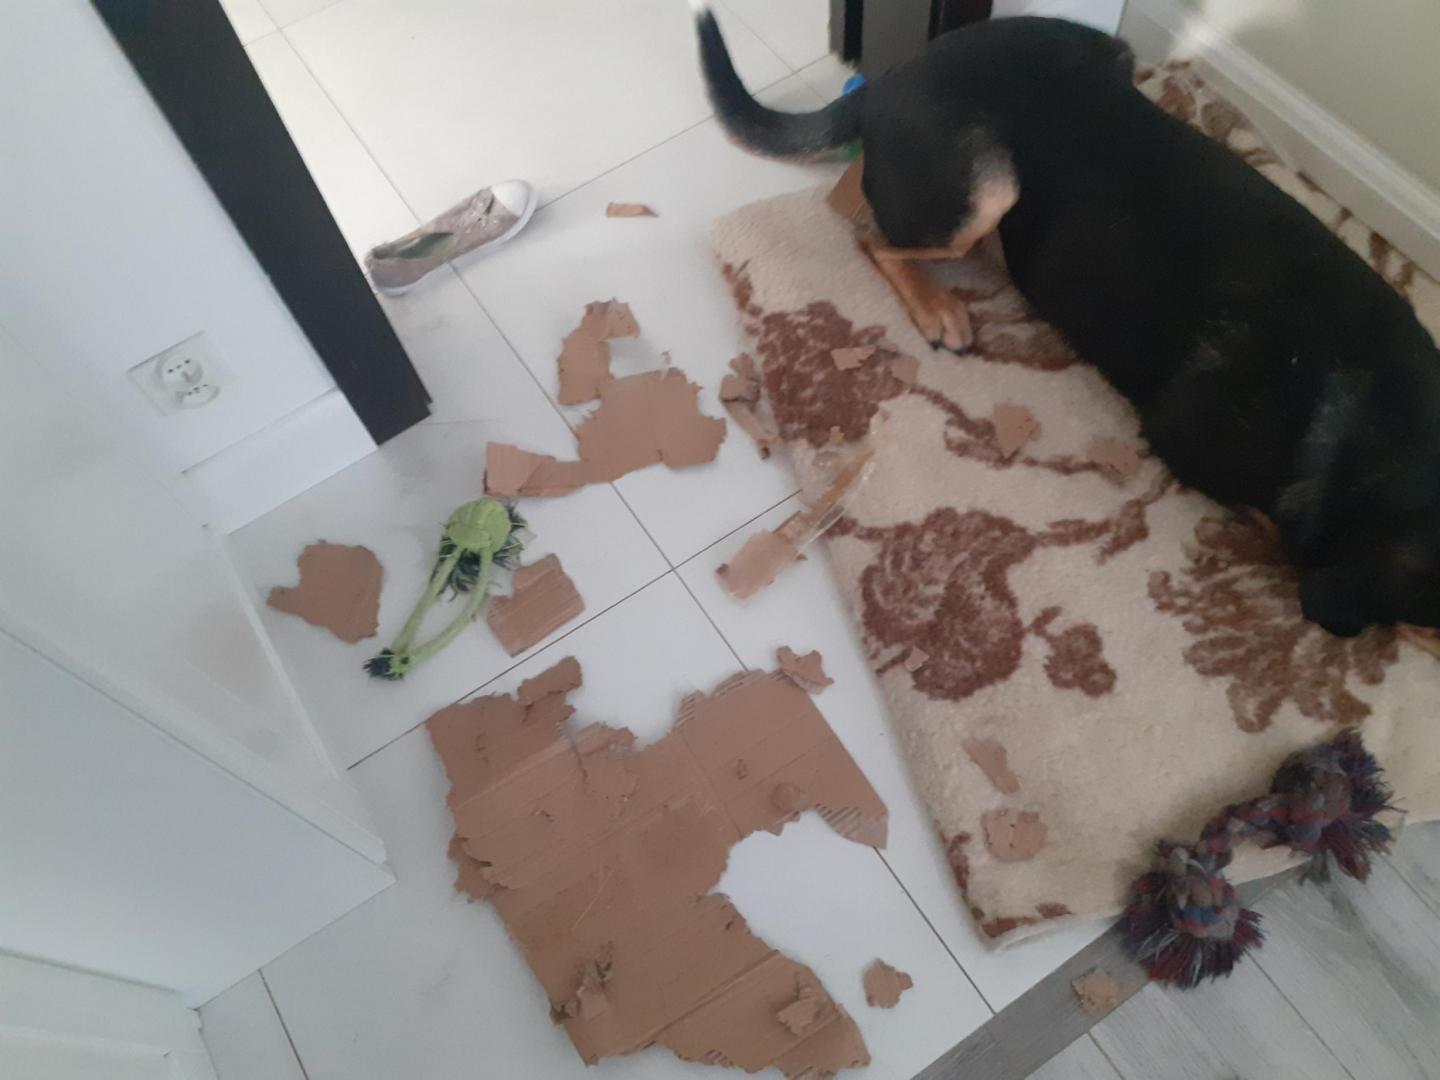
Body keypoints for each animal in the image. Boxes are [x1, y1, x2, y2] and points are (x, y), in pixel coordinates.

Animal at [694, 8, 1440, 637]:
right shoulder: (1186, 444)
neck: (1372, 401)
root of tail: (891, 76)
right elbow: (1284, 539)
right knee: (873, 238)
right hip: (987, 188)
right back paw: (938, 306)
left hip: (1107, 56)